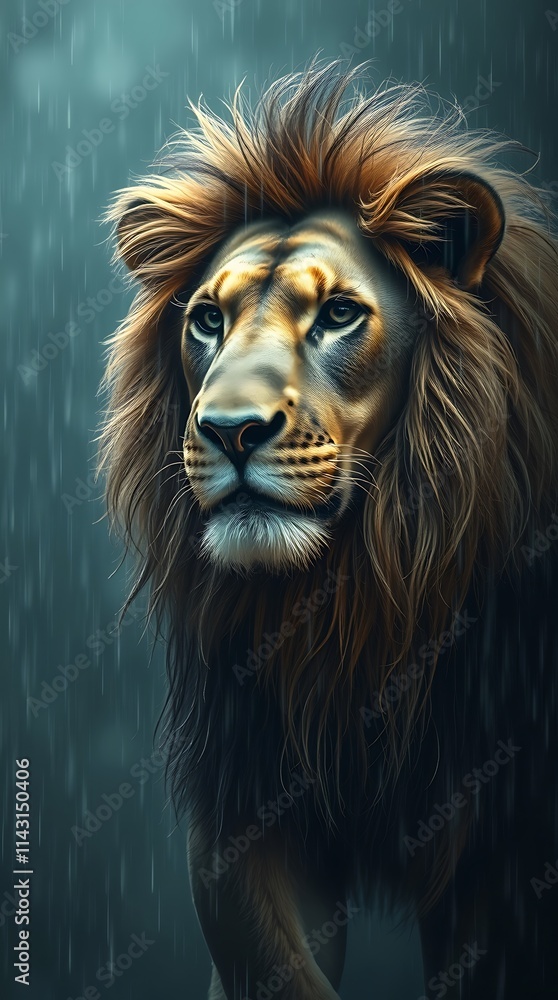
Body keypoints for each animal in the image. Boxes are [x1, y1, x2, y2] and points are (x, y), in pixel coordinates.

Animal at [100, 63, 558, 999]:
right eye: (207, 318)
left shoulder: (502, 844)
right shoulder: (243, 814)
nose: (231, 430)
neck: (358, 599)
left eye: (341, 314)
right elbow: (275, 967)